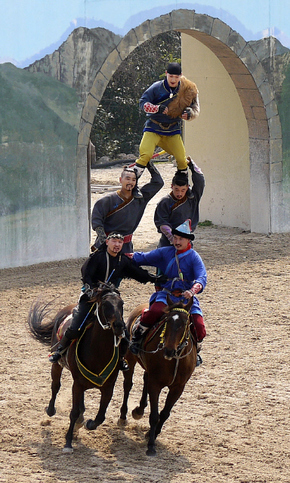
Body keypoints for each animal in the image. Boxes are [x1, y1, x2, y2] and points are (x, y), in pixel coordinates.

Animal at [27, 284, 125, 454]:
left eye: (121, 304)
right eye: (105, 305)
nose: (119, 326)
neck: (98, 352)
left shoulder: (108, 388)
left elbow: (100, 416)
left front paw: (89, 423)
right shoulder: (77, 385)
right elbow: (73, 413)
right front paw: (68, 442)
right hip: (57, 365)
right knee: (55, 386)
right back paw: (50, 409)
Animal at [118, 294, 197, 458]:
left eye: (185, 323)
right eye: (167, 321)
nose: (168, 350)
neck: (175, 360)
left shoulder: (178, 388)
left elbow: (165, 413)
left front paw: (152, 434)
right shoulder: (156, 384)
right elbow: (154, 415)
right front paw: (151, 445)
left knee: (145, 379)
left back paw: (139, 409)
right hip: (130, 358)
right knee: (128, 385)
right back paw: (123, 416)